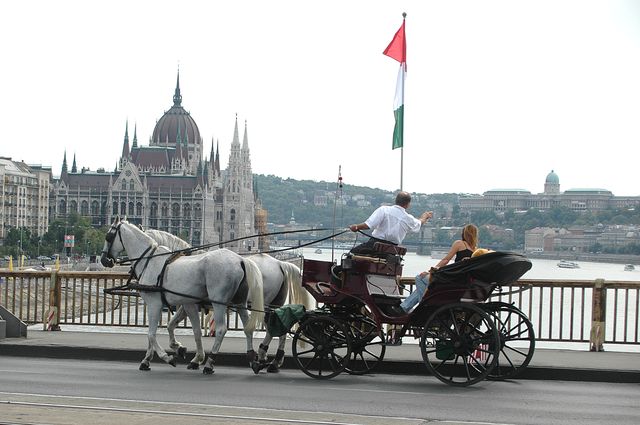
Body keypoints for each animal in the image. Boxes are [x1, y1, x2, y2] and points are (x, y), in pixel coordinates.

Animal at [99, 217, 264, 372]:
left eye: (108, 236)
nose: (104, 260)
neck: (150, 261)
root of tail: (241, 259)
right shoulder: (187, 304)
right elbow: (184, 329)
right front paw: (177, 350)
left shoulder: (155, 304)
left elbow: (151, 334)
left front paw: (167, 357)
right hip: (240, 302)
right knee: (248, 327)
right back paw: (252, 359)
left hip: (219, 302)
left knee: (221, 329)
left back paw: (210, 363)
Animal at [145, 229, 316, 372]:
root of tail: (281, 263)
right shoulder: (186, 306)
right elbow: (171, 325)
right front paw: (177, 351)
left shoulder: (189, 304)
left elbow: (186, 329)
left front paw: (192, 357)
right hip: (274, 304)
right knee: (279, 328)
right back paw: (272, 361)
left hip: (263, 305)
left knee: (271, 328)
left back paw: (264, 355)